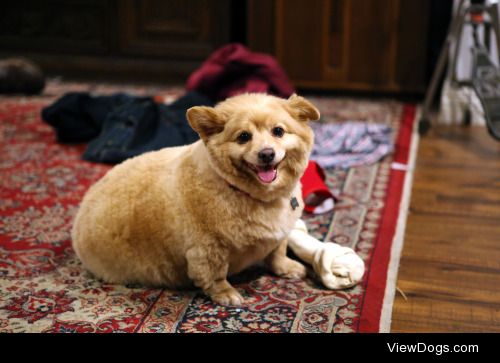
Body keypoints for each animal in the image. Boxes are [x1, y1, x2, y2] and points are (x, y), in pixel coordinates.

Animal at [71, 92, 320, 306]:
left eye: (278, 131)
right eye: (243, 137)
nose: (266, 154)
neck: (245, 192)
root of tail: (82, 208)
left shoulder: (280, 233)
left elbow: (277, 252)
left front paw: (285, 267)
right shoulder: (208, 249)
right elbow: (215, 276)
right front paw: (225, 294)